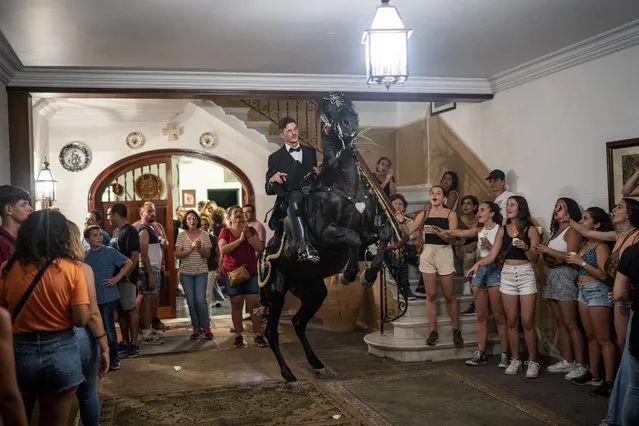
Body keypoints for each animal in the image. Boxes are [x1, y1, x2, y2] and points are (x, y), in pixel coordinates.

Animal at [260, 92, 396, 390]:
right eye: (328, 106)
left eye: (348, 100)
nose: (349, 123)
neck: (343, 185)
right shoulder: (327, 235)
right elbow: (352, 239)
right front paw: (349, 274)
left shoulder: (368, 232)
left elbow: (383, 234)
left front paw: (370, 274)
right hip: (277, 291)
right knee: (272, 332)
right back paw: (289, 376)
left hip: (314, 291)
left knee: (299, 323)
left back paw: (317, 364)